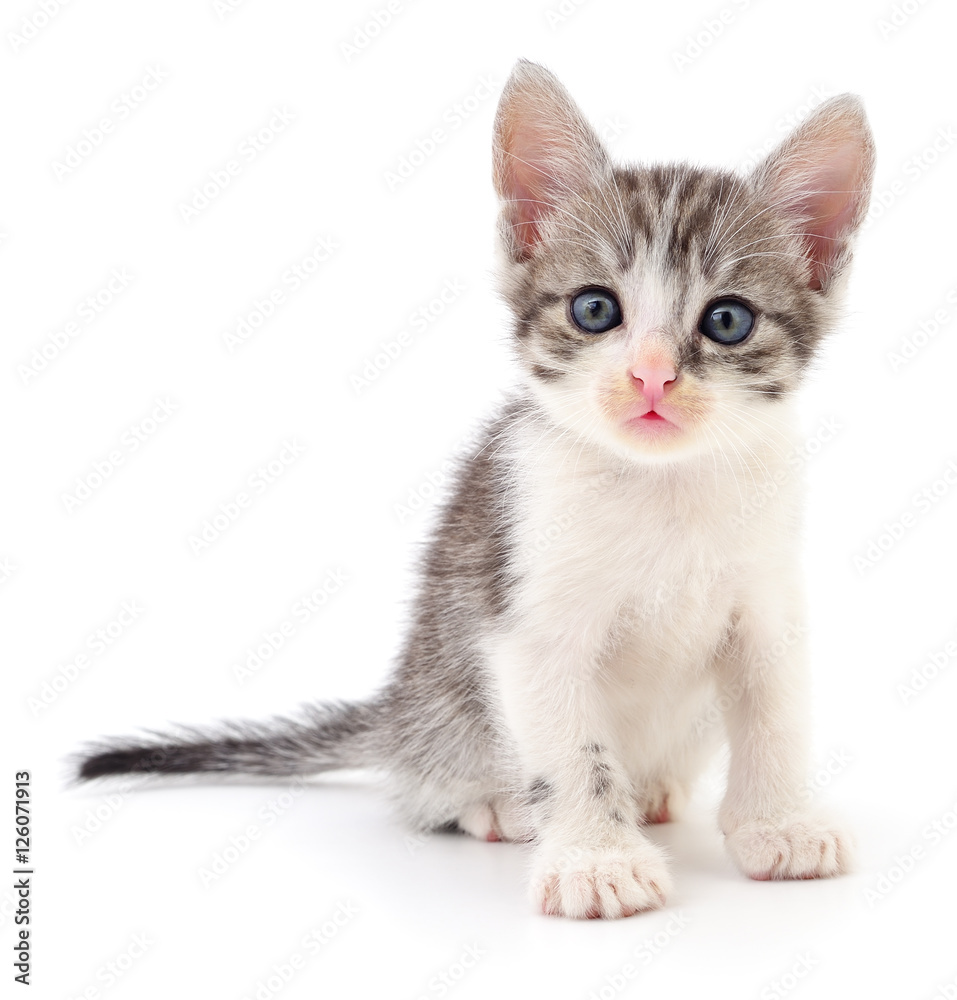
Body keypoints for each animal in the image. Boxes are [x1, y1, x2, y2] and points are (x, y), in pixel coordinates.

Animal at [78, 60, 876, 920]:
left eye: (727, 321)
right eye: (594, 309)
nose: (651, 377)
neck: (661, 488)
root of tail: (395, 714)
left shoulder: (766, 601)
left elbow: (775, 715)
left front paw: (780, 822)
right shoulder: (525, 615)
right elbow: (570, 748)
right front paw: (595, 857)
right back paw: (492, 803)